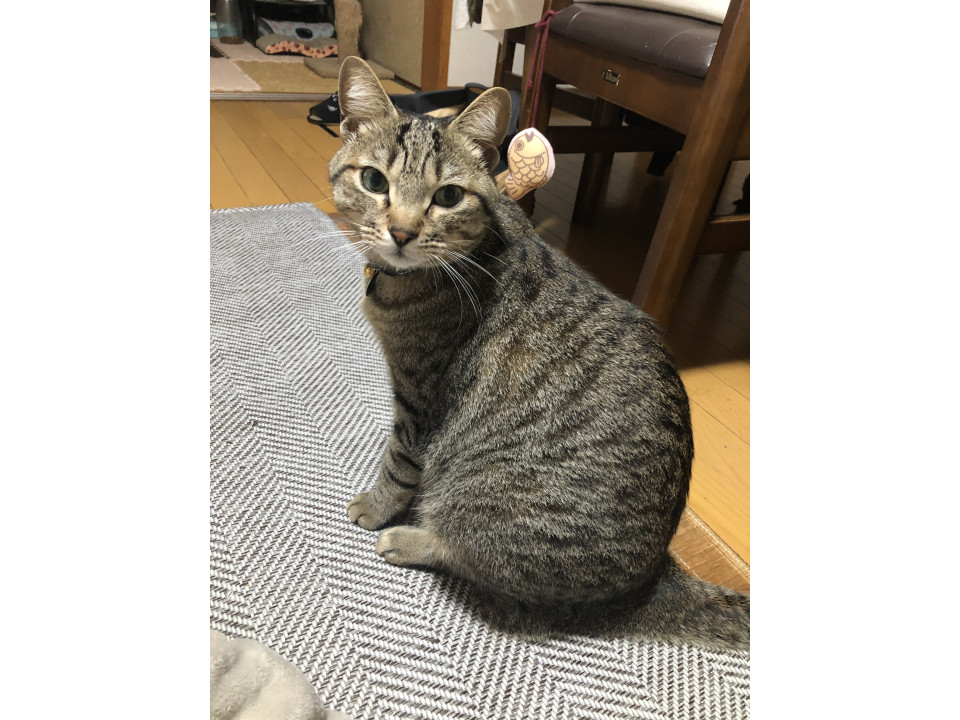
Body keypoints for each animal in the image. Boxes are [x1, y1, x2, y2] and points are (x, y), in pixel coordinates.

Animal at [329, 57, 749, 652]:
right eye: (373, 181)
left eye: (447, 196)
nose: (403, 232)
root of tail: (650, 582)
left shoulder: (419, 394)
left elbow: (401, 460)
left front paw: (378, 507)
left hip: (484, 496)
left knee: (466, 553)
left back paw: (408, 539)